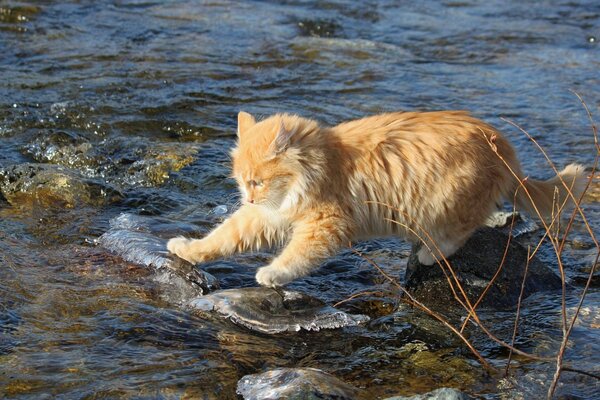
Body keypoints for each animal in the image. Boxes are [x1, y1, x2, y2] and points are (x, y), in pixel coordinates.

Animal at [169, 111, 584, 286]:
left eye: (257, 182)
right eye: (242, 183)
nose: (250, 198)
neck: (323, 163)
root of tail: (506, 150)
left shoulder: (325, 225)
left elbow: (296, 257)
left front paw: (273, 274)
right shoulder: (265, 217)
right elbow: (222, 238)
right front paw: (188, 249)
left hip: (451, 198)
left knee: (461, 231)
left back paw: (429, 252)